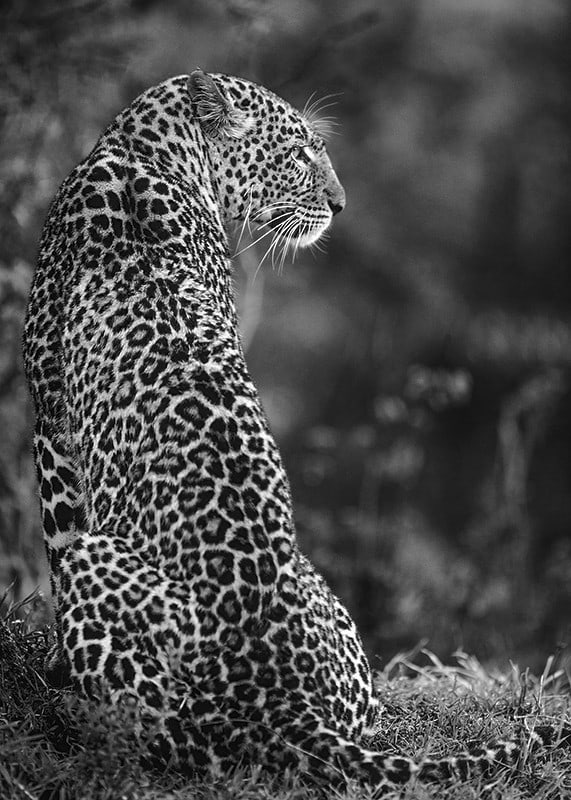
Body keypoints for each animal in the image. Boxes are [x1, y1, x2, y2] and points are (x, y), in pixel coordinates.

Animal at [23, 69, 566, 794]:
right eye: (301, 152)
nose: (341, 205)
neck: (142, 149)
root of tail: (285, 708)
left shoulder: (49, 417)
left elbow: (56, 533)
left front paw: (51, 662)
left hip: (108, 581)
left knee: (151, 724)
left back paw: (74, 707)